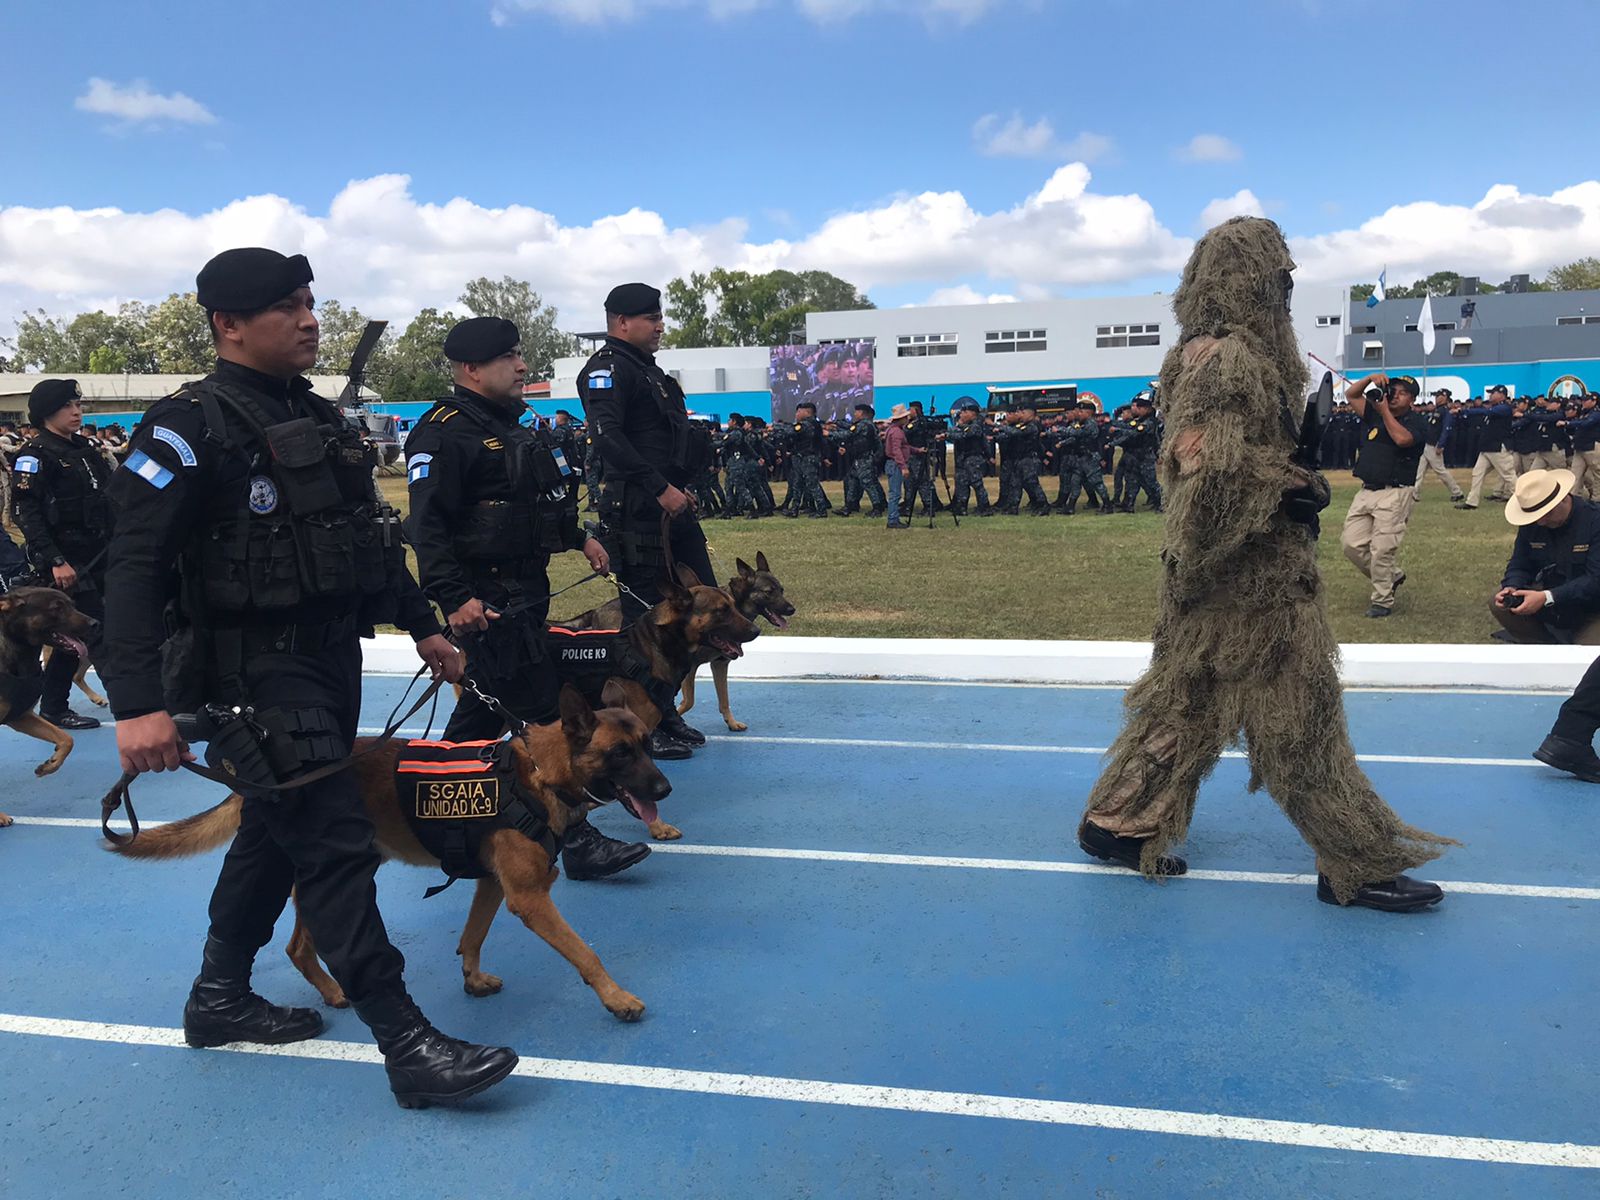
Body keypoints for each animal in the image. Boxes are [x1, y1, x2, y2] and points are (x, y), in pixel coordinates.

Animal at [0, 588, 100, 825]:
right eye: (57, 608)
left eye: (72, 604)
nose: (95, 623)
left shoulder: (20, 716)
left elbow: (66, 739)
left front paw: (50, 765)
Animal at [108, 684, 668, 1024]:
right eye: (621, 753)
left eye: (647, 744)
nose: (663, 789)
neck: (539, 773)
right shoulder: (530, 899)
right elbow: (585, 952)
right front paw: (617, 998)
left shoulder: (493, 884)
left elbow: (473, 935)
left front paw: (472, 977)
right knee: (297, 946)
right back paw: (336, 992)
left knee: (298, 946)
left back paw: (333, 990)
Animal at [678, 553, 796, 732]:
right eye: (768, 592)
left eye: (781, 590)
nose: (792, 610)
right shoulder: (689, 667)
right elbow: (688, 701)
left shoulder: (720, 664)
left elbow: (724, 700)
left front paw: (731, 723)